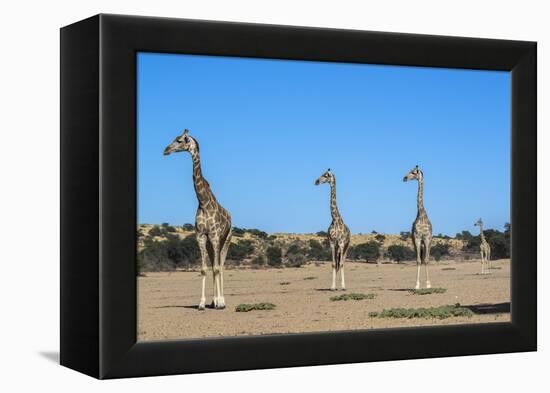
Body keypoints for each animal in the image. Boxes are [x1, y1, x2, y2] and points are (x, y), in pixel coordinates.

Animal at [164, 129, 233, 310]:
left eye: (180, 140)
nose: (166, 150)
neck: (203, 202)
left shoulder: (215, 236)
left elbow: (216, 268)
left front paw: (220, 303)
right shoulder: (201, 236)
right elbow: (204, 269)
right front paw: (202, 303)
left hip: (225, 239)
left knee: (221, 266)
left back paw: (222, 301)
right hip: (210, 243)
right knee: (215, 264)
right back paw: (213, 301)